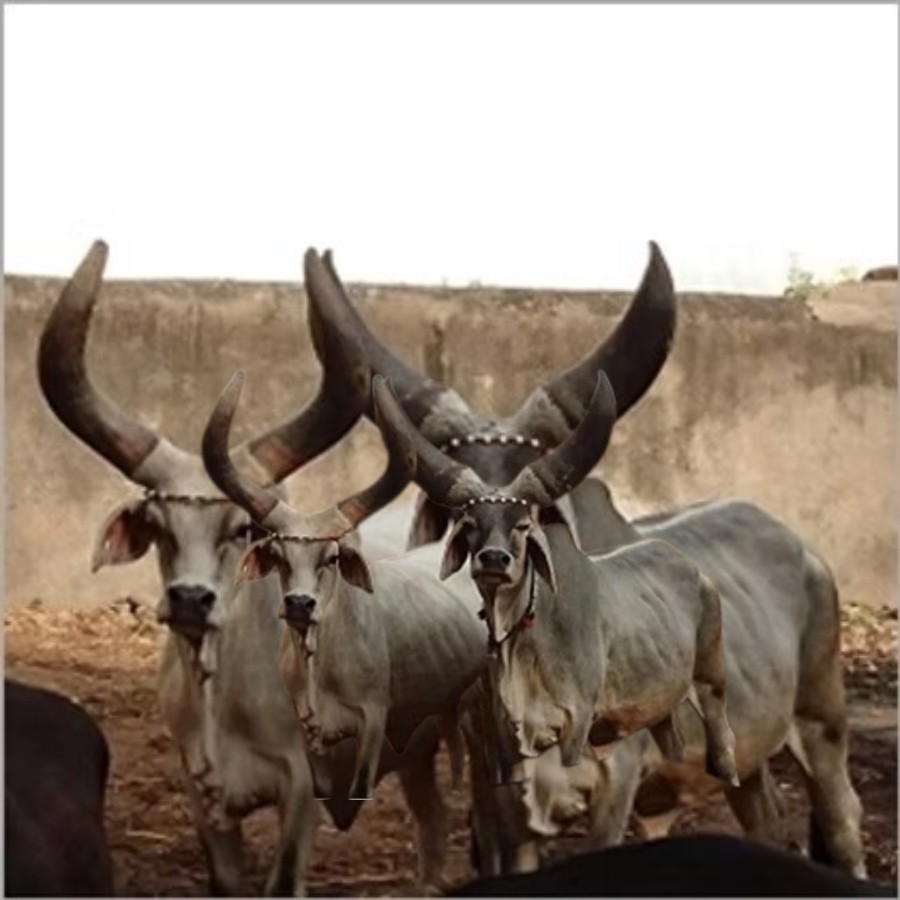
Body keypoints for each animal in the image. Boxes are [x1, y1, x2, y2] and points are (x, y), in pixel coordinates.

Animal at [35, 241, 456, 895]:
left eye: (240, 529)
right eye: (158, 527)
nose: (190, 600)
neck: (223, 697)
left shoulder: (302, 791)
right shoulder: (202, 797)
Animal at [296, 245, 867, 877]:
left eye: (533, 516)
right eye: (452, 514)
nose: (490, 572)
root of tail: (800, 547)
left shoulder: (615, 781)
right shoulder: (498, 801)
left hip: (822, 719)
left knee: (842, 819)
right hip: (744, 752)